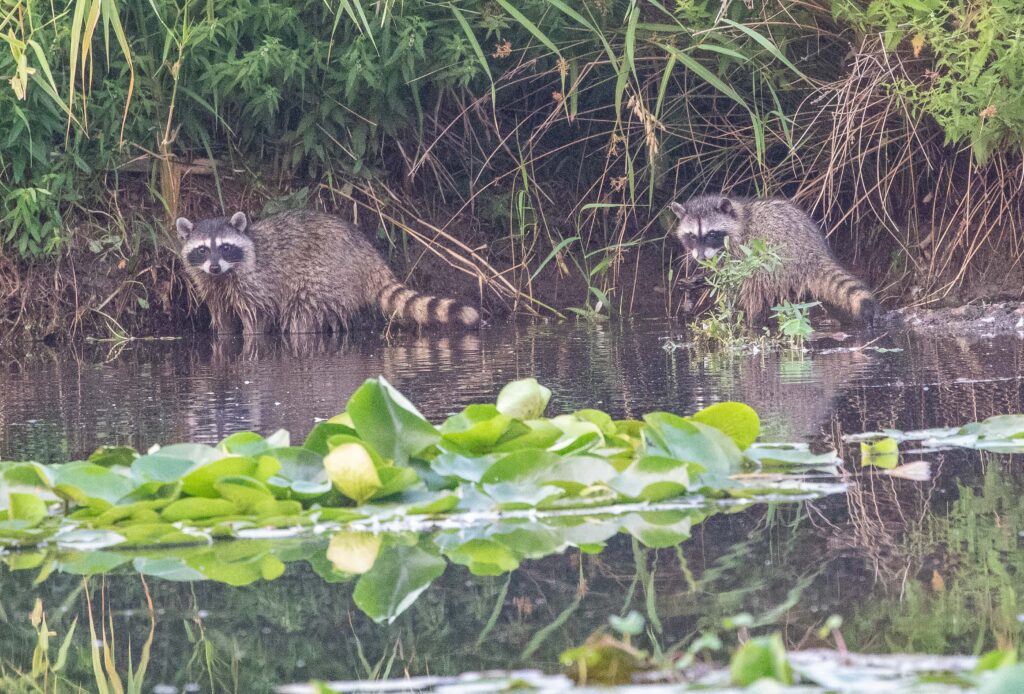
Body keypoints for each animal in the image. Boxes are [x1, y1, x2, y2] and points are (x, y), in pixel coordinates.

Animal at [175, 209, 481, 334]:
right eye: (203, 250)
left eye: (225, 247)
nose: (215, 266)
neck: (222, 276)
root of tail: (366, 253)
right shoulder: (212, 287)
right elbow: (222, 317)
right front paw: (224, 335)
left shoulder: (256, 283)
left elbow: (257, 316)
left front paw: (253, 336)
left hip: (324, 275)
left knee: (302, 314)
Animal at [670, 194, 876, 325]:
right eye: (692, 236)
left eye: (712, 234)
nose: (701, 257)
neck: (741, 216)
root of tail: (813, 253)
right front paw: (701, 278)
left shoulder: (743, 247)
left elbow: (733, 274)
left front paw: (708, 278)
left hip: (777, 261)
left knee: (754, 288)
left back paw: (751, 321)